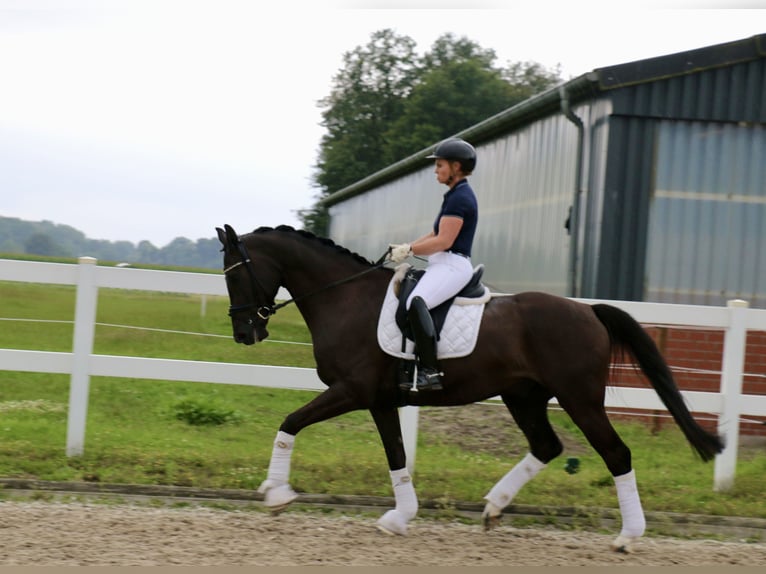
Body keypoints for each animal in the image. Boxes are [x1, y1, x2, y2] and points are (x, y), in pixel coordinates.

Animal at [218, 224, 728, 552]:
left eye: (235, 272)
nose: (245, 333)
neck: (344, 298)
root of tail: (588, 310)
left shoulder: (352, 391)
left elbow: (290, 422)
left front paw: (275, 494)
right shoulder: (380, 401)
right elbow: (396, 456)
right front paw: (399, 517)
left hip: (579, 399)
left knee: (616, 454)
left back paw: (627, 537)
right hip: (524, 396)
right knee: (546, 446)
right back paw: (493, 509)